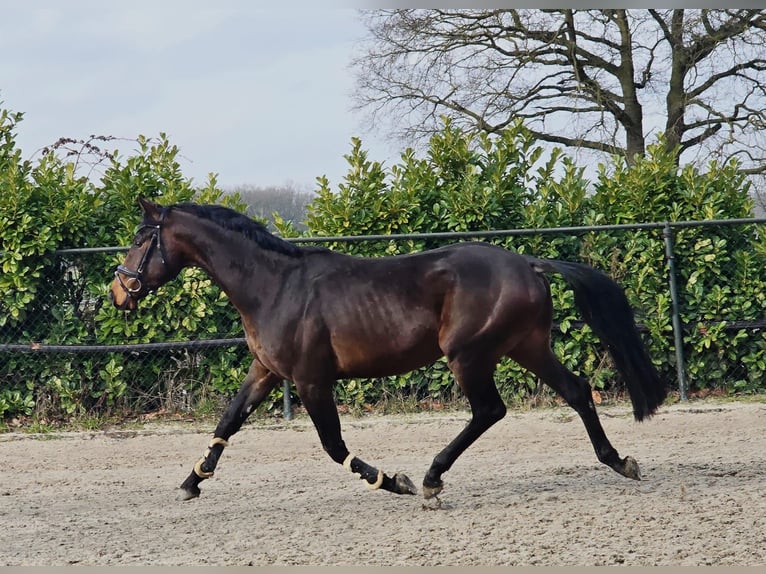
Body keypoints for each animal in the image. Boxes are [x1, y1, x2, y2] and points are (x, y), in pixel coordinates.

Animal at [110, 197, 667, 502]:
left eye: (140, 238)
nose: (117, 291)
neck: (275, 286)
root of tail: (527, 264)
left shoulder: (312, 380)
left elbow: (333, 445)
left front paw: (393, 481)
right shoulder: (266, 372)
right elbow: (227, 421)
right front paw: (191, 482)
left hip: (469, 354)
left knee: (490, 410)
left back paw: (431, 479)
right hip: (525, 345)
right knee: (577, 391)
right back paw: (619, 461)